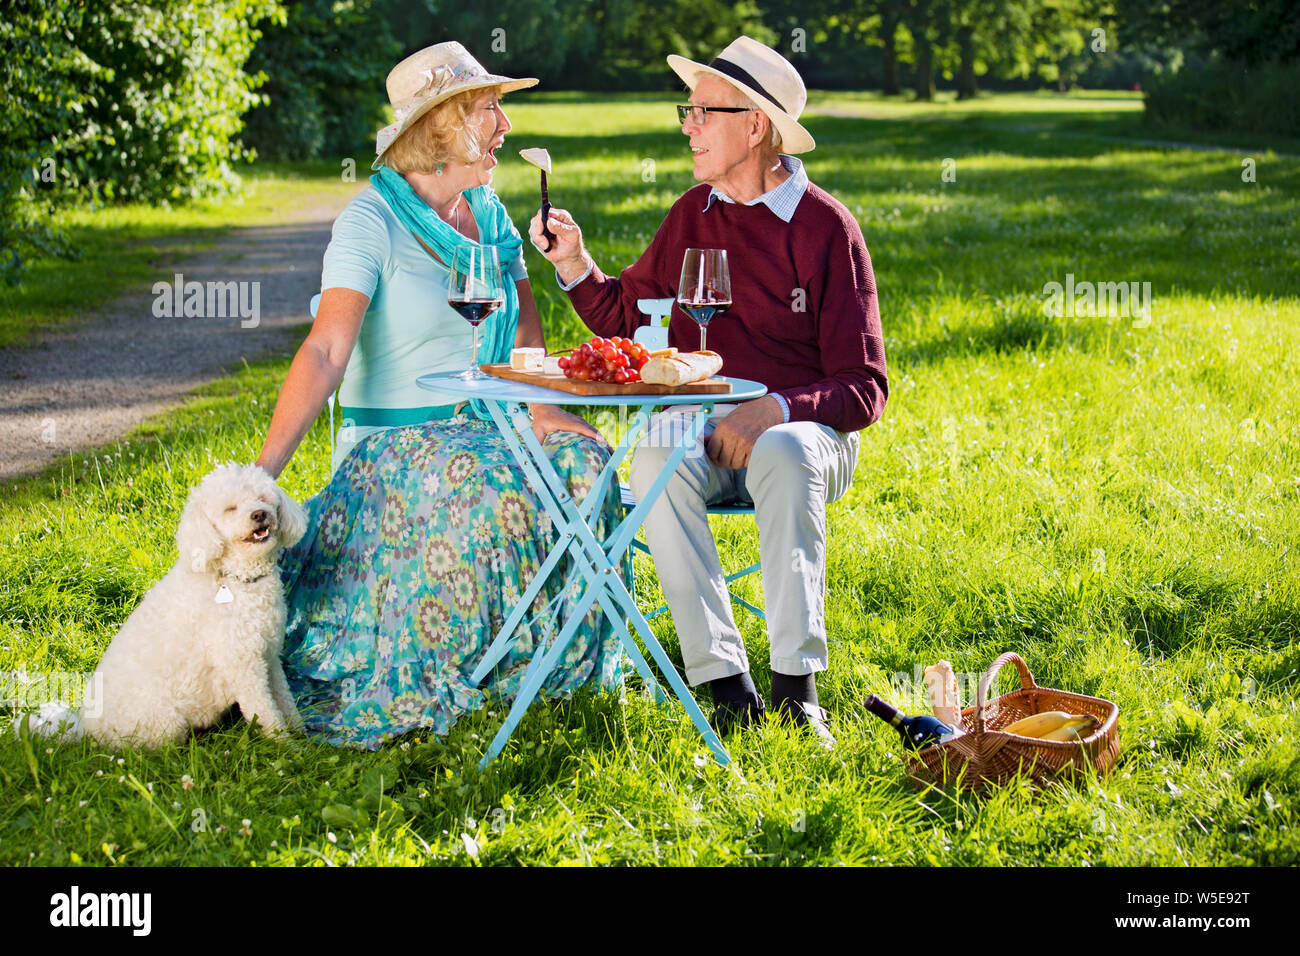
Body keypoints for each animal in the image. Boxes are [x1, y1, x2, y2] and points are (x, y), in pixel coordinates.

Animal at [26, 463, 310, 749]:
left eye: (263, 498)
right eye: (230, 508)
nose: (260, 514)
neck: (236, 578)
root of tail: (87, 730)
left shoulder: (269, 656)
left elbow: (284, 698)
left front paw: (301, 731)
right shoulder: (243, 667)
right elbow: (265, 711)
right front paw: (287, 746)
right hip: (165, 724)